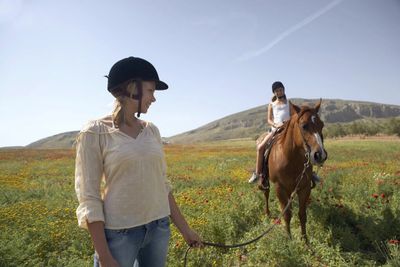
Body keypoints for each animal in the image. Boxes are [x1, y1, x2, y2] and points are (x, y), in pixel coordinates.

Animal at [262, 99, 328, 242]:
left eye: (322, 125)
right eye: (304, 126)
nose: (320, 155)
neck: (290, 158)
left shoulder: (304, 188)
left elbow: (302, 214)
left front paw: (305, 240)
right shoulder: (280, 188)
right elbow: (286, 215)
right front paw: (289, 239)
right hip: (267, 182)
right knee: (266, 193)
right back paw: (267, 213)